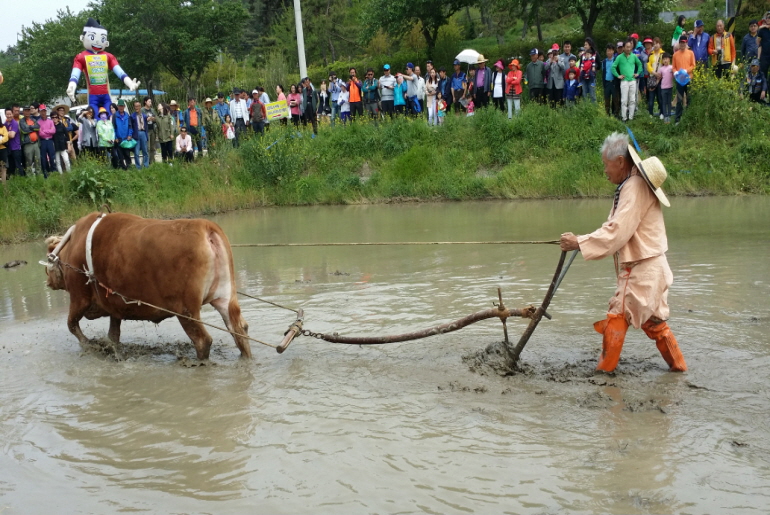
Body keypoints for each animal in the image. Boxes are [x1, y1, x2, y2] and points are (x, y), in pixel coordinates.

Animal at [44, 212, 252, 360]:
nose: (47, 281)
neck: (73, 246)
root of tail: (206, 226)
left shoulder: (79, 297)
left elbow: (72, 325)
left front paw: (89, 345)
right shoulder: (114, 305)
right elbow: (113, 335)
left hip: (186, 310)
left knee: (203, 341)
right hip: (224, 297)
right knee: (239, 329)